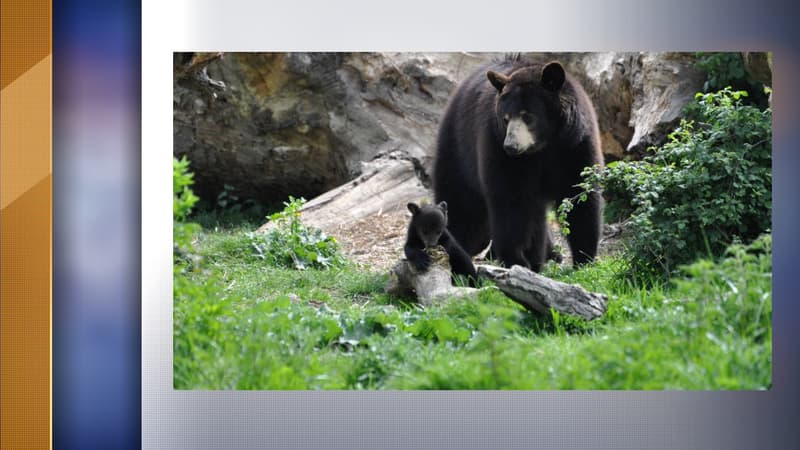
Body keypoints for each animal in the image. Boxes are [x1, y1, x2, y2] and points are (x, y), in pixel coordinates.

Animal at [434, 58, 604, 272]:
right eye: (505, 118)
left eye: (527, 116)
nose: (511, 146)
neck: (543, 148)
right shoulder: (499, 149)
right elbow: (511, 200)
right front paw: (517, 259)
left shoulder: (575, 145)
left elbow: (580, 194)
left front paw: (584, 258)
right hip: (459, 146)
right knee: (461, 200)